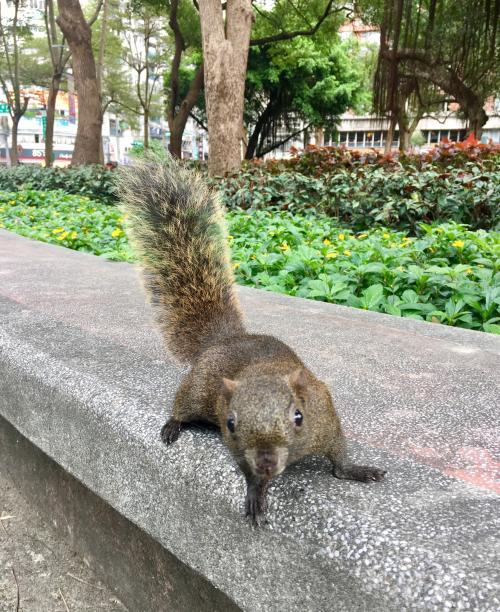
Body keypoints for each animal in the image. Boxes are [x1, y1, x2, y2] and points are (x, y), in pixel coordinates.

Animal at [118, 155, 386, 524]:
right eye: (231, 423)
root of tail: (226, 339)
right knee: (181, 404)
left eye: (299, 416)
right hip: (197, 389)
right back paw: (173, 424)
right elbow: (247, 471)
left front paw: (358, 470)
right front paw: (257, 492)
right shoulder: (237, 446)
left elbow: (339, 460)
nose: (267, 463)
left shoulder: (326, 417)